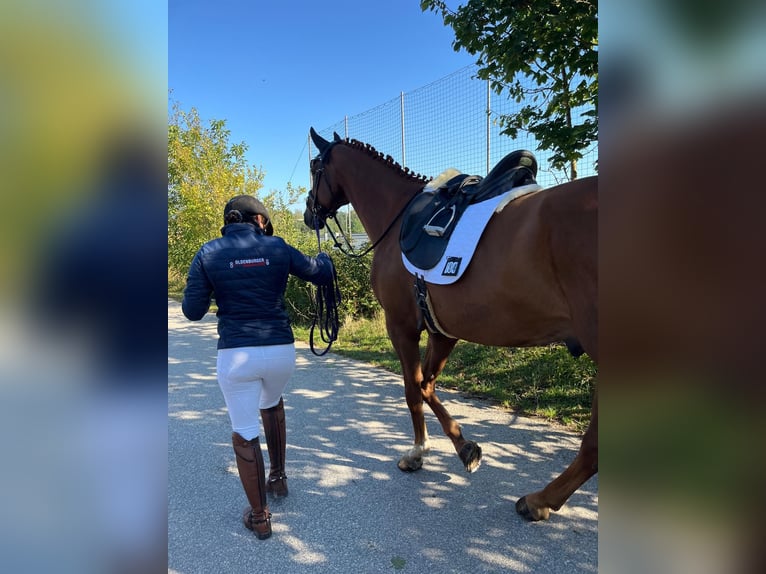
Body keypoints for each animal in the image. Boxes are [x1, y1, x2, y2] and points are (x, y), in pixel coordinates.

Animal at [302, 129, 600, 520]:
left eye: (314, 168)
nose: (308, 213)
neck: (398, 216)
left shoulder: (401, 326)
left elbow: (412, 390)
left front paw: (418, 451)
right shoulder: (442, 332)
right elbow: (427, 385)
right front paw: (464, 447)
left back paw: (539, 500)